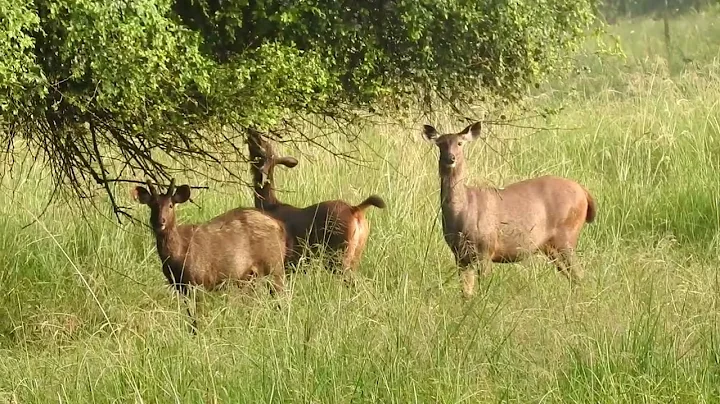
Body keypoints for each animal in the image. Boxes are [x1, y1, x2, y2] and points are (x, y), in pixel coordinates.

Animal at [132, 179, 287, 332]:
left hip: (274, 266)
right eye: (152, 205)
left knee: (280, 295)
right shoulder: (179, 285)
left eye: (170, 205)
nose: (160, 221)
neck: (177, 256)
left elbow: (197, 314)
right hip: (250, 276)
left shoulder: (198, 280)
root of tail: (279, 225)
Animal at [246, 130, 386, 279]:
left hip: (338, 256)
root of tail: (355, 209)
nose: (252, 131)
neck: (268, 204)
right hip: (354, 256)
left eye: (262, 146)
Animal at [423, 122, 597, 298]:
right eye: (440, 144)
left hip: (567, 234)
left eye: (460, 143)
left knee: (580, 274)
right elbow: (466, 293)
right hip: (551, 246)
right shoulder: (459, 255)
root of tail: (584, 192)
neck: (462, 213)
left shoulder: (486, 248)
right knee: (572, 276)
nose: (450, 158)